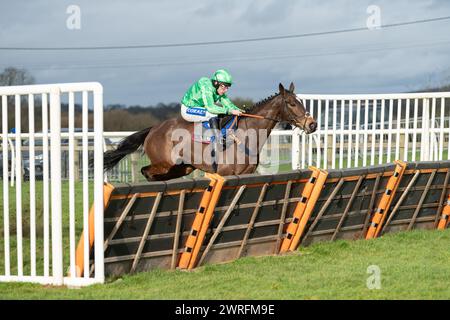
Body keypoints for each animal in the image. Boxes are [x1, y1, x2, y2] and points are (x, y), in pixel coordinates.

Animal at [103, 82, 318, 181]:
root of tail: (153, 129)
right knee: (146, 171)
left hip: (183, 167)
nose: (312, 124)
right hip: (163, 163)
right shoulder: (227, 174)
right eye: (291, 103)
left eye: (300, 101)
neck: (246, 136)